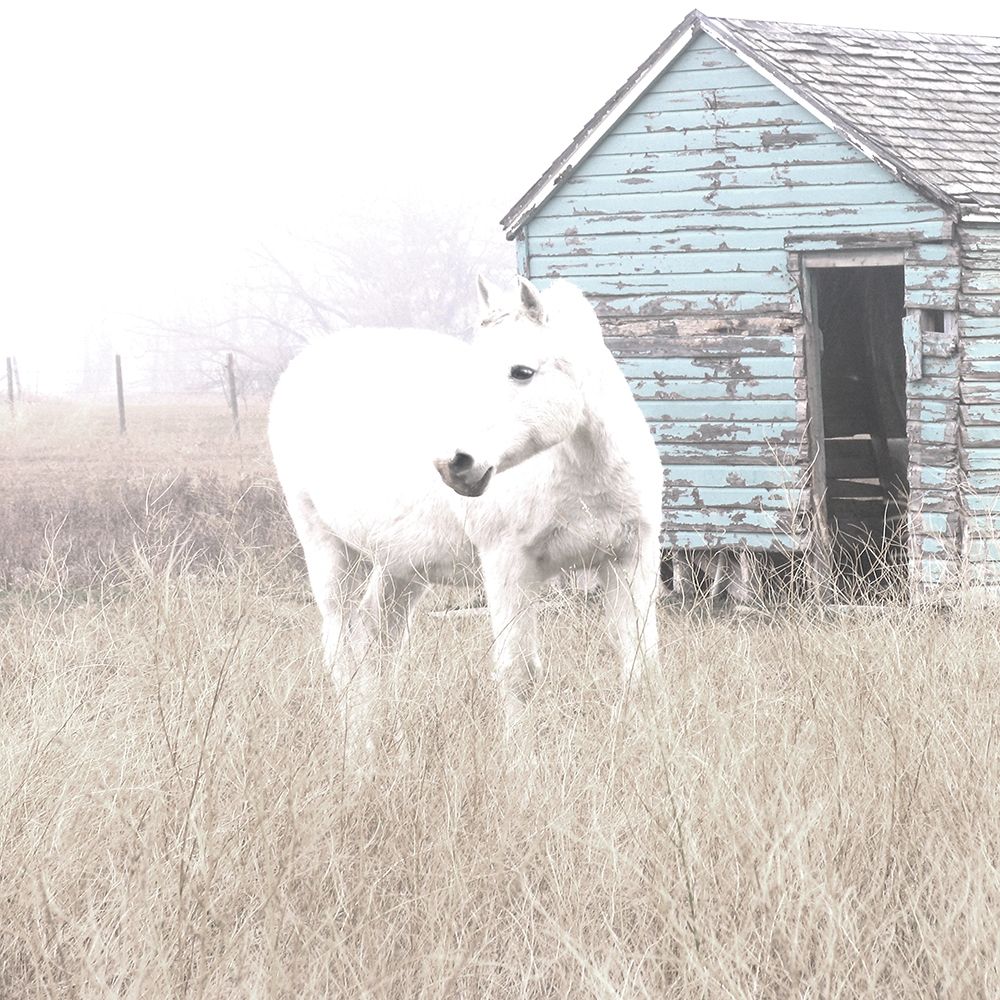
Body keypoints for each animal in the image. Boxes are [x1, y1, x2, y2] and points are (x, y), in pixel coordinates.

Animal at [268, 277, 663, 749]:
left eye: (521, 371)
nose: (453, 464)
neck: (583, 473)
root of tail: (302, 365)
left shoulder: (631, 559)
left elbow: (641, 666)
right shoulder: (508, 565)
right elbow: (519, 675)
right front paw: (522, 760)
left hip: (401, 567)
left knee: (378, 638)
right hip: (326, 549)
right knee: (342, 649)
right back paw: (356, 746)